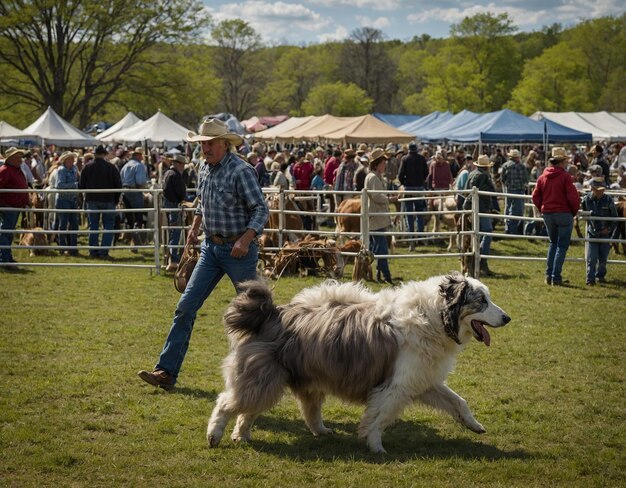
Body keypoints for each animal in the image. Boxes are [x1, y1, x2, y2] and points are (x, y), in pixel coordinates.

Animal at [207, 272, 510, 452]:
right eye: (481, 300)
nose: (507, 318)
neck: (433, 316)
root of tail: (270, 313)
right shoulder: (395, 387)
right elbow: (379, 417)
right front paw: (376, 447)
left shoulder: (421, 379)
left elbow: (458, 402)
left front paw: (474, 425)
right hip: (262, 378)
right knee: (227, 403)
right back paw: (214, 435)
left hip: (283, 379)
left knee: (274, 411)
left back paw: (247, 435)